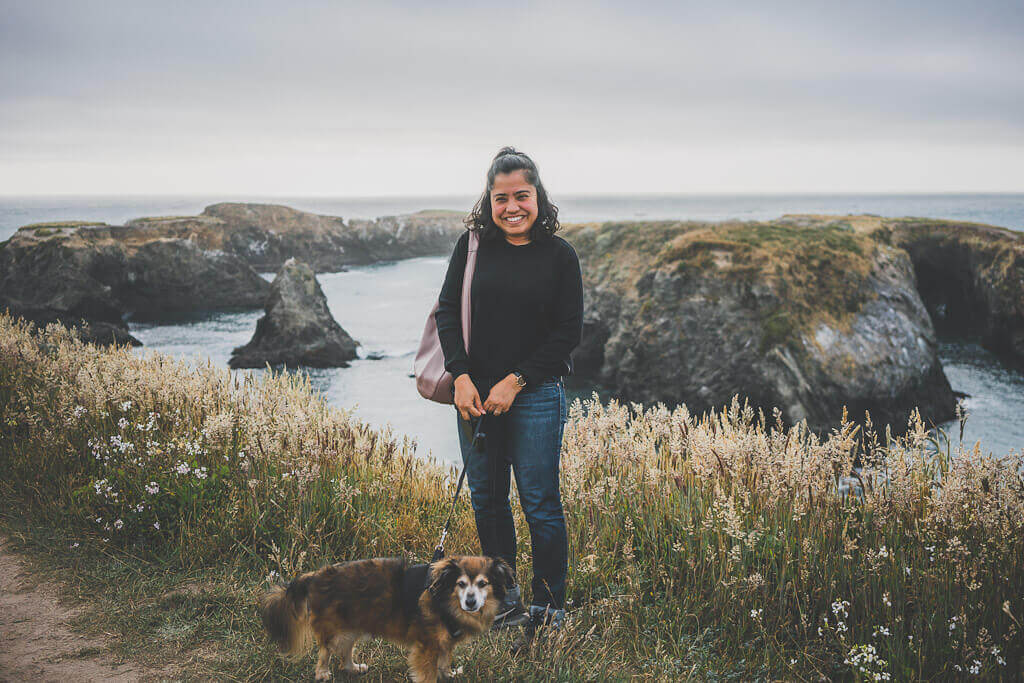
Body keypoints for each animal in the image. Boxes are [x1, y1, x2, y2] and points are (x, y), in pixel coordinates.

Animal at [258, 557, 509, 683]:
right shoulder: (427, 645)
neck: (445, 597)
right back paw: (323, 674)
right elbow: (428, 671)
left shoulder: (444, 641)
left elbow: (445, 659)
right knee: (325, 652)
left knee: (345, 651)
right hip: (335, 627)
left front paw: (449, 674)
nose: (470, 602)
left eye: (483, 584)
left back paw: (353, 668)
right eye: (461, 584)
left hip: (353, 624)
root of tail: (314, 577)